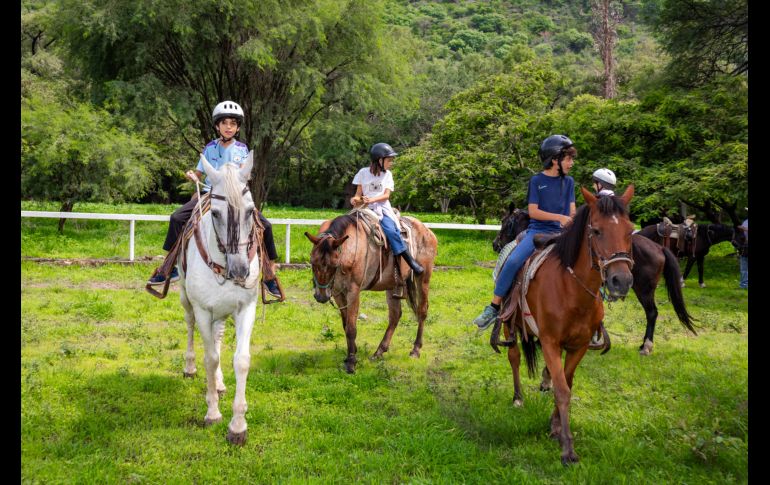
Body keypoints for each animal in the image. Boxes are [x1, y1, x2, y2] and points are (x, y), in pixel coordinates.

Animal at [179, 149, 260, 444]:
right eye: (215, 213)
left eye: (250, 211)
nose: (240, 271)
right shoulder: (203, 310)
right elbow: (210, 358)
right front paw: (212, 412)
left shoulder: (246, 308)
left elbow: (241, 360)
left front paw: (238, 426)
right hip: (187, 301)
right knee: (192, 328)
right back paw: (190, 368)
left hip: (222, 313)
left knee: (217, 338)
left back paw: (221, 382)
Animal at [306, 210, 438, 372]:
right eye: (313, 262)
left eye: (333, 265)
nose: (321, 297)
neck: (349, 249)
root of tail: (428, 231)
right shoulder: (338, 292)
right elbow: (345, 325)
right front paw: (351, 354)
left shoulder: (353, 291)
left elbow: (351, 327)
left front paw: (351, 362)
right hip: (393, 285)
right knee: (395, 316)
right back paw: (379, 352)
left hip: (424, 278)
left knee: (422, 311)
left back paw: (415, 349)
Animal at [492, 202, 696, 354]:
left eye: (504, 221)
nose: (495, 244)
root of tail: (659, 247)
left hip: (644, 290)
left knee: (652, 313)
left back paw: (646, 345)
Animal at [496, 184, 632, 462]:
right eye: (596, 230)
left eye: (630, 231)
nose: (621, 281)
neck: (571, 290)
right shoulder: (550, 342)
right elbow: (561, 389)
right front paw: (567, 446)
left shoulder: (578, 346)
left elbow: (566, 384)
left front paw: (556, 427)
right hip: (509, 324)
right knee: (514, 357)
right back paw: (517, 397)